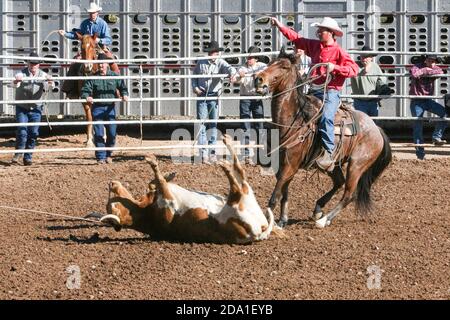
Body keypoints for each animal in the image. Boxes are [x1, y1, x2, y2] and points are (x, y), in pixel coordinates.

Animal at [100, 134, 280, 242]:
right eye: (112, 206)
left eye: (112, 201)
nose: (111, 183)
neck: (147, 211)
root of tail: (261, 232)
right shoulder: (168, 200)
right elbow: (160, 181)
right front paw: (153, 162)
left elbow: (155, 182)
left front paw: (169, 174)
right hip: (236, 204)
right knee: (237, 183)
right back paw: (224, 165)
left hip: (248, 199)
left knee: (240, 174)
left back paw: (227, 143)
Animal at [255, 48, 392, 228]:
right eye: (270, 63)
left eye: (284, 66)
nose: (258, 79)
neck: (294, 120)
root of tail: (377, 129)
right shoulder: (282, 165)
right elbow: (284, 192)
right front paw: (282, 220)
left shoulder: (290, 166)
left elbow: (275, 196)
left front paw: (268, 224)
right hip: (334, 165)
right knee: (339, 182)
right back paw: (318, 209)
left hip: (357, 165)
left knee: (348, 194)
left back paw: (323, 220)